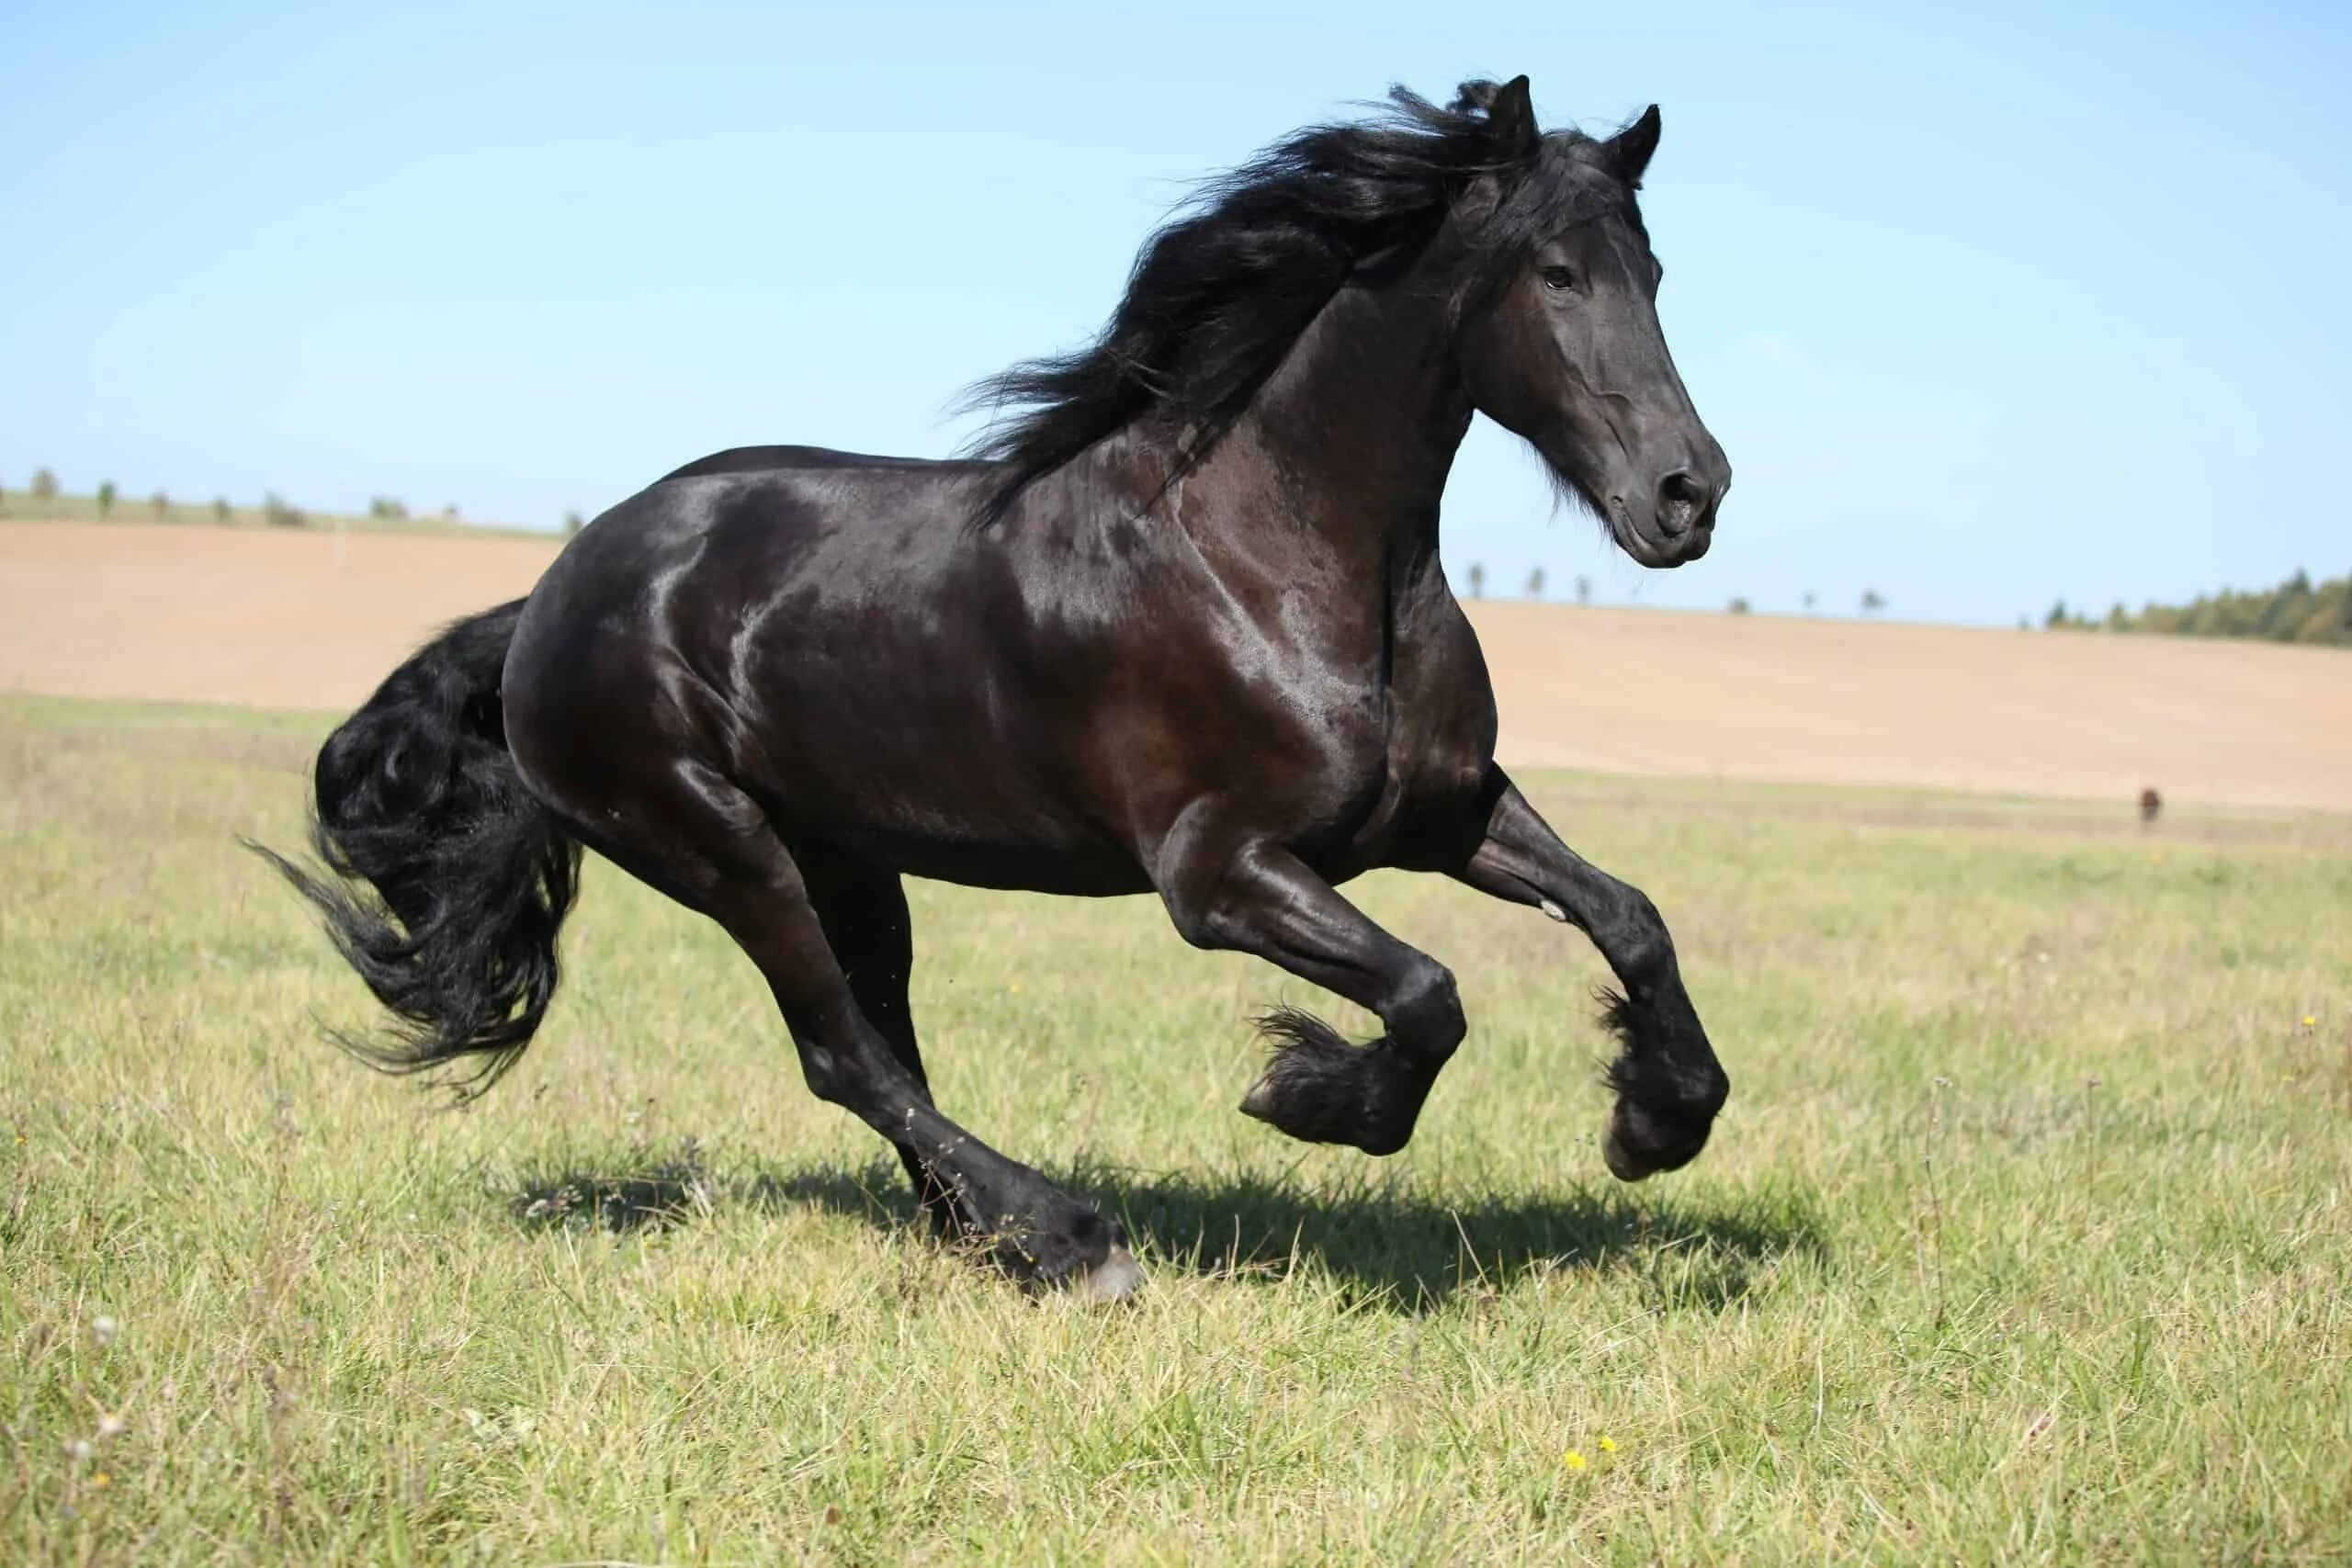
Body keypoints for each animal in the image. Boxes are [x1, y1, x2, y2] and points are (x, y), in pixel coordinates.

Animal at [262, 76, 1731, 1297]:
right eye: (1556, 272)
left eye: (1655, 269)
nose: (1689, 494)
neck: (1277, 558)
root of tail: (551, 602)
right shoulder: (1219, 874)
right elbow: (1429, 991)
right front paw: (1310, 1099)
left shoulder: (1441, 815)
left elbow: (1632, 916)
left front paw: (1656, 1121)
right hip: (712, 843)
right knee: (841, 1053)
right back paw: (1068, 1240)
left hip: (847, 856)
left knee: (883, 1046)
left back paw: (986, 1237)